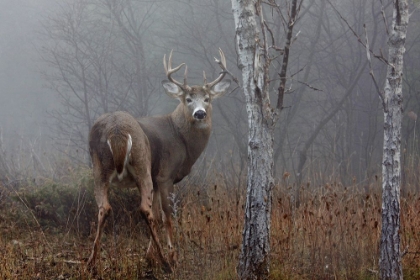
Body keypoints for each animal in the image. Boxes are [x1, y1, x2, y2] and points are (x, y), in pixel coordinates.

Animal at [85, 49, 230, 272]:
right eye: (188, 99)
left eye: (207, 98)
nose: (200, 113)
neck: (180, 137)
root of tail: (116, 131)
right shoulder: (164, 175)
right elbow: (166, 215)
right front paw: (171, 255)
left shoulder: (155, 178)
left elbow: (156, 213)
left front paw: (149, 256)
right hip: (142, 163)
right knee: (144, 209)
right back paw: (165, 260)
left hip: (99, 168)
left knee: (105, 208)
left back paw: (91, 262)